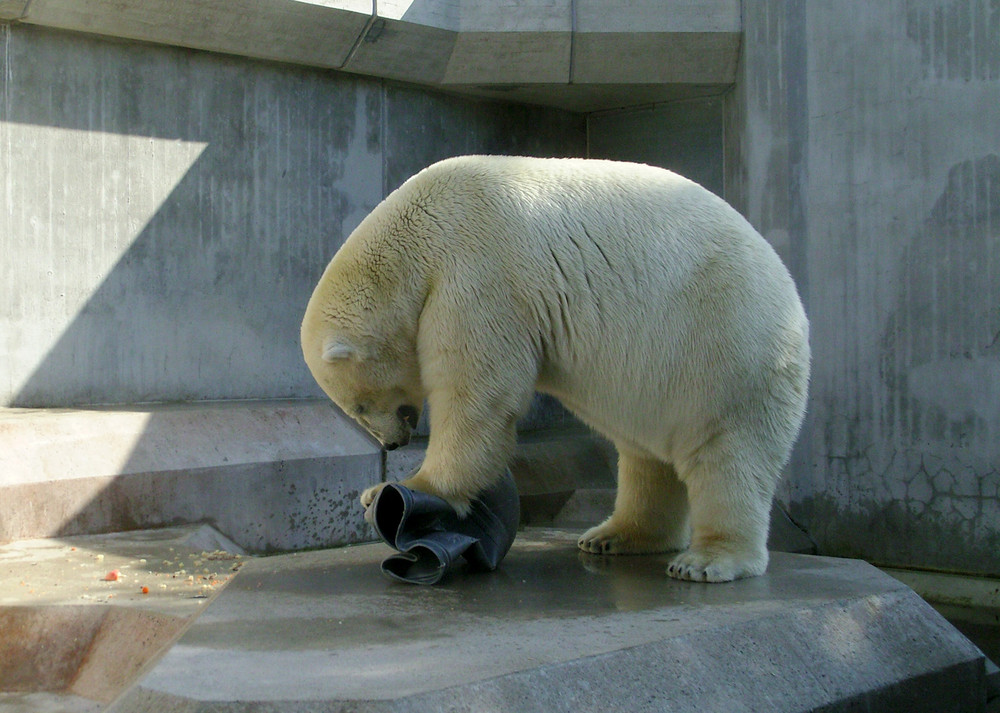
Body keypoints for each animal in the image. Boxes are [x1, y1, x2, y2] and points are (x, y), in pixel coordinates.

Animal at [300, 154, 808, 580]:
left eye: (358, 405)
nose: (393, 442)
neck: (420, 231)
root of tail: (791, 295)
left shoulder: (476, 272)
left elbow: (478, 393)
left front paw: (410, 487)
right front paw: (379, 492)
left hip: (725, 345)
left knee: (729, 454)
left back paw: (706, 560)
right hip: (663, 375)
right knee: (645, 455)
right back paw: (614, 535)